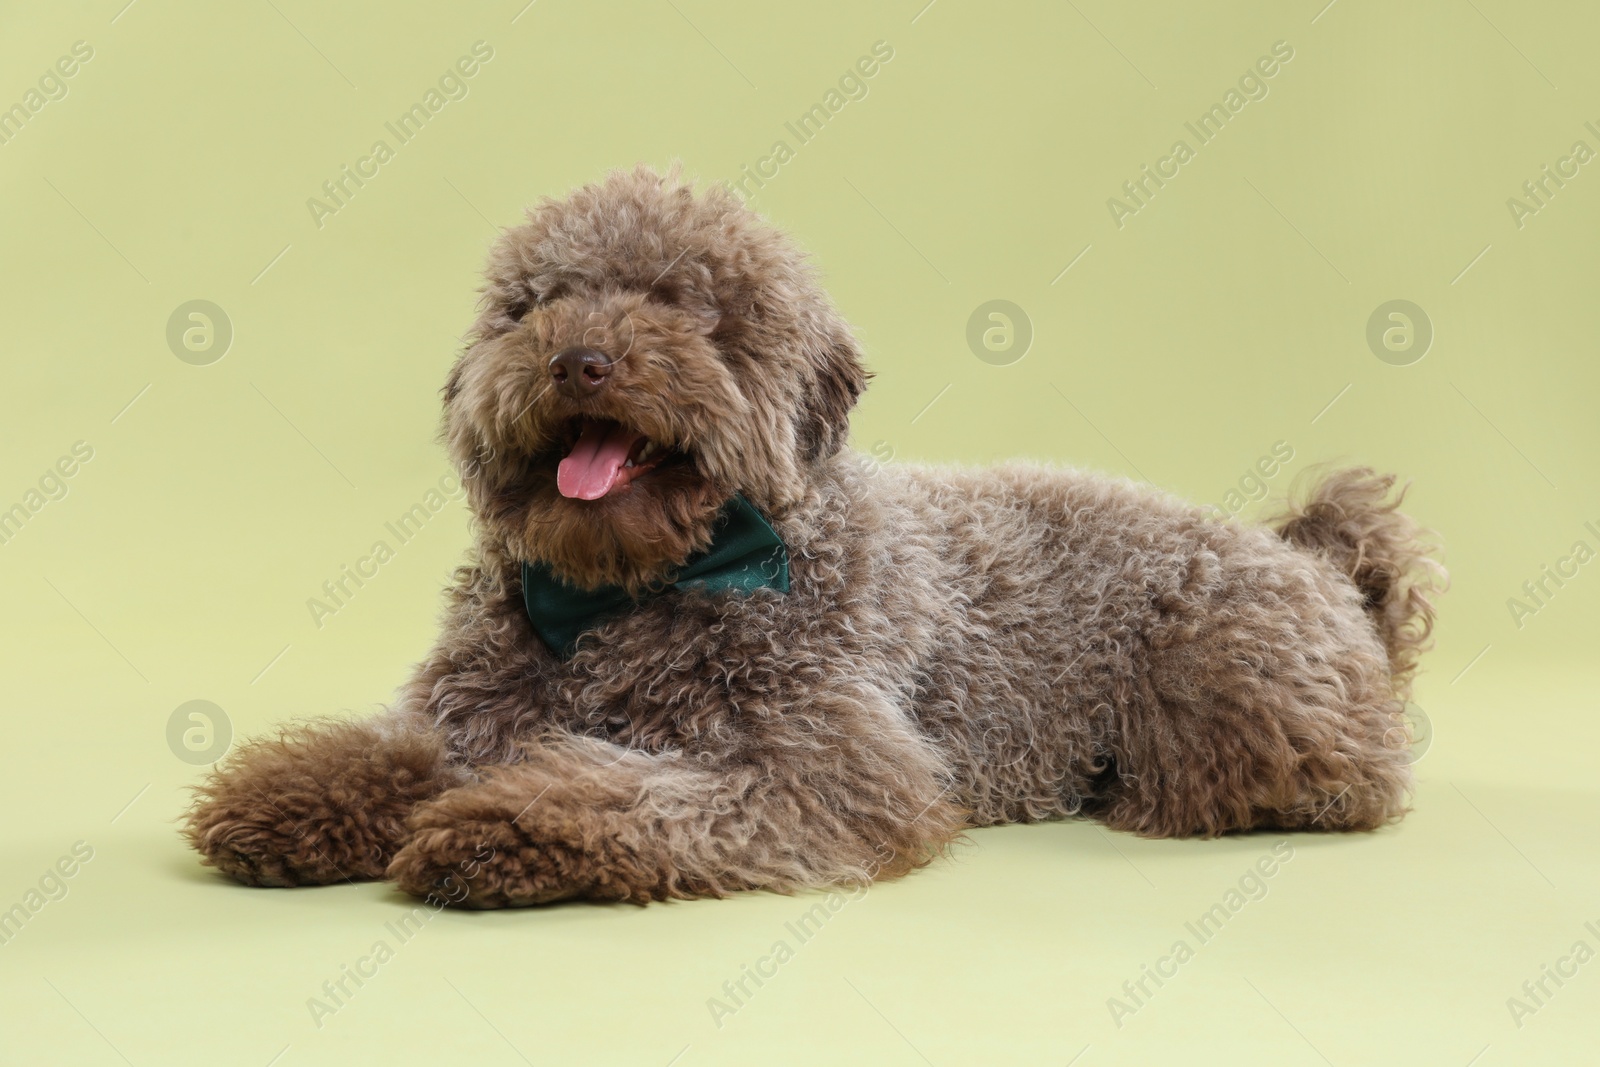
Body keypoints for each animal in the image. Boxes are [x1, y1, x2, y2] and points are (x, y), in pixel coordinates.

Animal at [181, 163, 1446, 908]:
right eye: (530, 305)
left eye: (683, 305)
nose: (578, 357)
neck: (631, 587)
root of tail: (1320, 560)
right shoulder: (475, 704)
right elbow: (392, 751)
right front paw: (289, 794)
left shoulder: (829, 765)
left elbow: (633, 796)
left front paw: (496, 828)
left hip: (1228, 684)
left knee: (1332, 782)